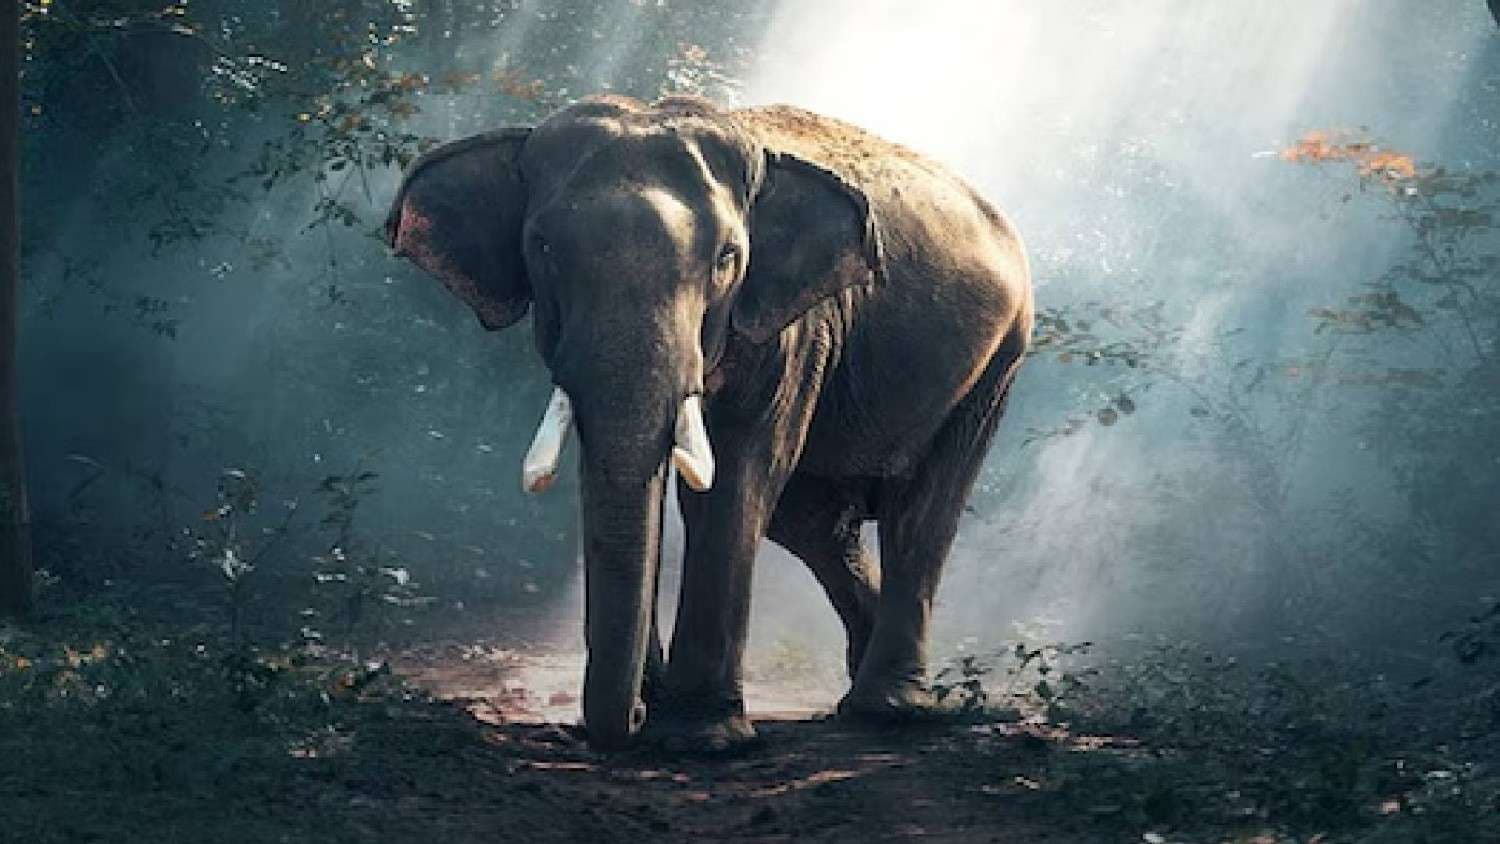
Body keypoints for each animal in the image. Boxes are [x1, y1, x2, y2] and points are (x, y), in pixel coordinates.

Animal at [384, 94, 1033, 751]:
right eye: (540, 247)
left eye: (727, 258)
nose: (633, 717)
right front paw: (662, 710)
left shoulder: (792, 328)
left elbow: (735, 479)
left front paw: (703, 737)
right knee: (813, 521)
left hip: (999, 359)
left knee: (919, 512)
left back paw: (892, 707)